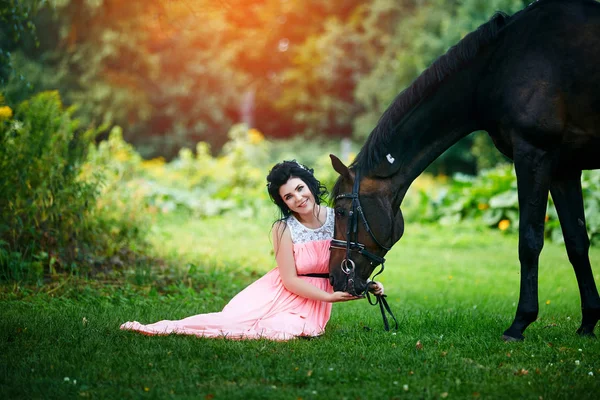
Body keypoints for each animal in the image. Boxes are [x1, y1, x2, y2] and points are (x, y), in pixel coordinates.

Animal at [328, 0, 600, 340]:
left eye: (342, 212)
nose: (333, 277)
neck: (501, 65)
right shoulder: (565, 168)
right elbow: (577, 243)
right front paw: (588, 323)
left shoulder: (533, 156)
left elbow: (529, 241)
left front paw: (520, 322)